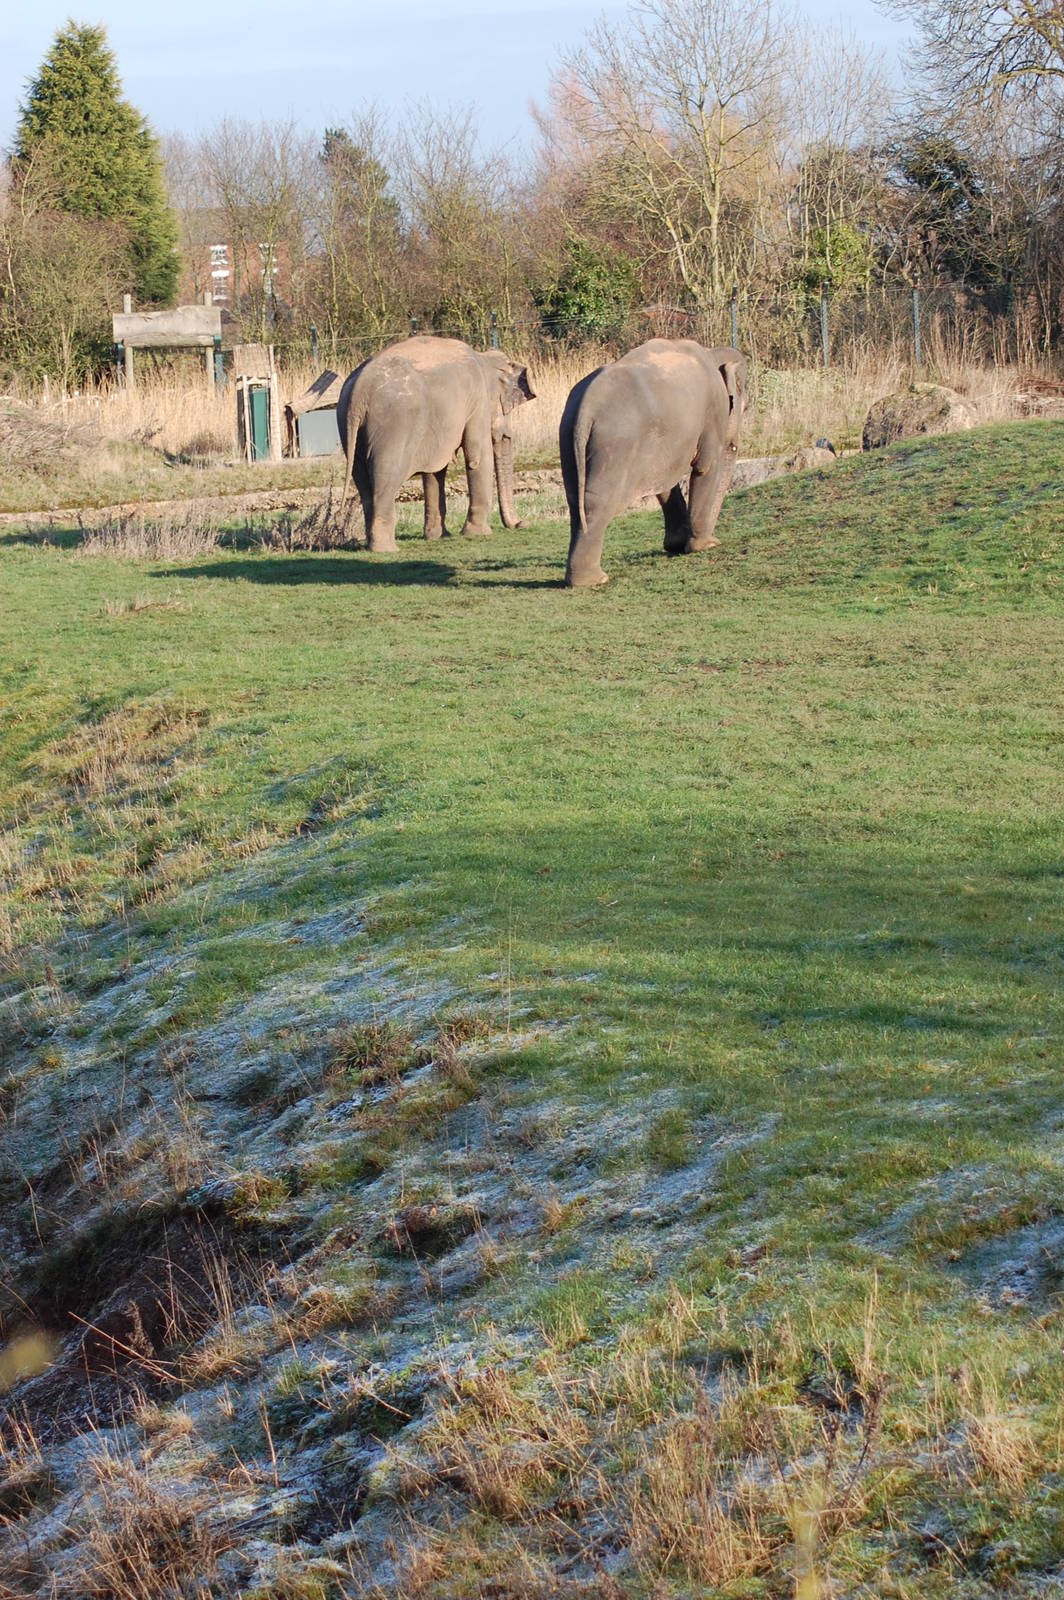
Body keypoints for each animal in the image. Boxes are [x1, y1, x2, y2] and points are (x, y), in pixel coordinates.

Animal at [337, 336, 535, 552]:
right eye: (506, 408)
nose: (523, 523)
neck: (483, 357)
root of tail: (359, 391)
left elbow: (435, 471)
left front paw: (438, 537)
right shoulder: (478, 401)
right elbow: (477, 456)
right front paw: (479, 534)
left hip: (349, 429)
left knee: (362, 481)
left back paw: (372, 546)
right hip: (394, 426)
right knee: (387, 476)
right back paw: (387, 549)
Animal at [559, 338, 747, 587]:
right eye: (744, 407)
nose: (714, 537)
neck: (713, 352)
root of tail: (586, 405)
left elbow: (665, 481)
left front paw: (677, 544)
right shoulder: (713, 412)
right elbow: (705, 466)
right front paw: (706, 546)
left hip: (567, 437)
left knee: (574, 499)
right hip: (616, 445)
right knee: (597, 501)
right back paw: (594, 580)